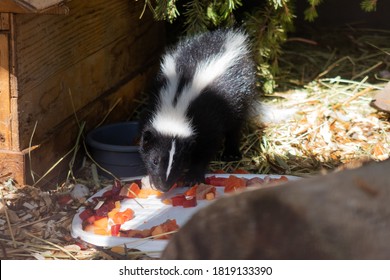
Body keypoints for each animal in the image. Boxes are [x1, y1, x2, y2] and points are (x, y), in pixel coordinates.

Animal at [139, 28, 256, 191]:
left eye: (179, 161)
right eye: (155, 160)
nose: (164, 186)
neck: (175, 106)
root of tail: (230, 37)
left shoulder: (208, 117)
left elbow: (206, 148)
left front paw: (193, 177)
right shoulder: (154, 101)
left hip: (241, 91)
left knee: (236, 124)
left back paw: (231, 153)